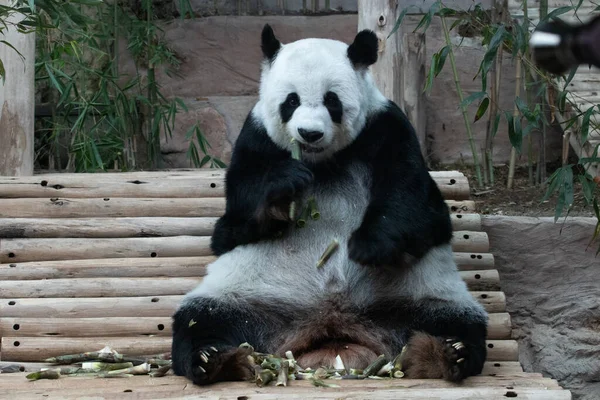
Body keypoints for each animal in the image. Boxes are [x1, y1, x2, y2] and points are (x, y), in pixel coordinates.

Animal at [171, 24, 490, 384]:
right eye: (291, 100)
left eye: (331, 101)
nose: (309, 133)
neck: (322, 162)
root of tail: (331, 325)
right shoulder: (255, 137)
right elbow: (234, 222)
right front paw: (284, 187)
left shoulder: (387, 128)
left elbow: (416, 203)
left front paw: (367, 247)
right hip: (245, 294)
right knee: (202, 321)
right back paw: (211, 359)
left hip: (420, 296)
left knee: (455, 323)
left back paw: (447, 353)